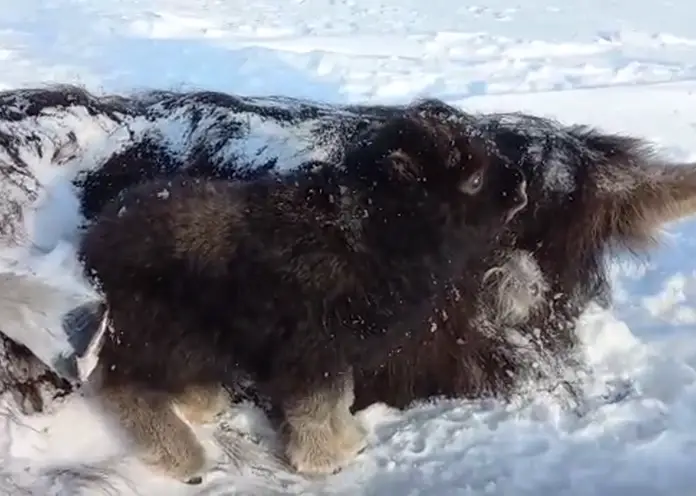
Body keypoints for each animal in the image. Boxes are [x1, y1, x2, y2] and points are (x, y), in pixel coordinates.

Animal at [77, 110, 528, 482]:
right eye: (473, 179)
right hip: (160, 334)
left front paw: (348, 439)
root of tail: (97, 239)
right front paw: (323, 459)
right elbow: (315, 407)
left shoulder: (335, 353)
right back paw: (182, 453)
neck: (369, 230)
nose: (521, 184)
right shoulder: (311, 352)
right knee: (121, 387)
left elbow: (339, 400)